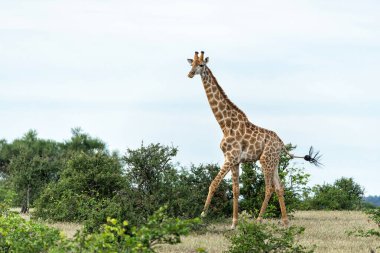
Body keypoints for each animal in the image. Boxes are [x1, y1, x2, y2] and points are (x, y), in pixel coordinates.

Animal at [187, 50, 320, 228]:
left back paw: (258, 220)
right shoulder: (235, 161)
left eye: (201, 65)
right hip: (274, 161)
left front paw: (201, 216)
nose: (189, 74)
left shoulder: (230, 157)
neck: (224, 125)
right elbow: (236, 190)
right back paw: (285, 222)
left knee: (269, 188)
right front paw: (234, 223)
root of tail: (281, 143)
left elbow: (213, 184)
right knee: (280, 188)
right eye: (191, 64)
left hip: (265, 160)